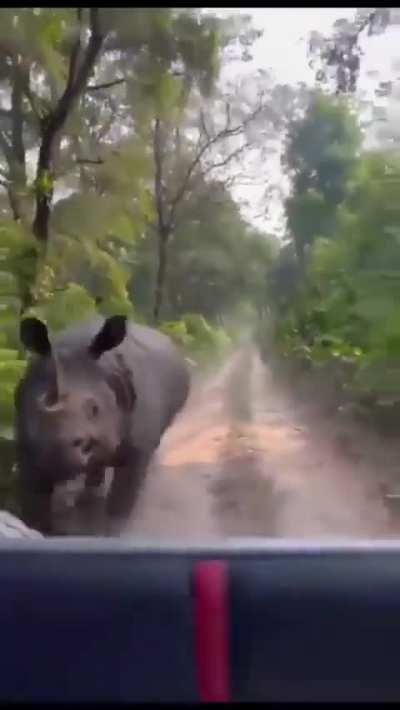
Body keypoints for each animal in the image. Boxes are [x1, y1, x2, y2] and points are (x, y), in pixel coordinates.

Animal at [15, 315, 190, 535]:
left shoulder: (136, 447)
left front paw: (116, 530)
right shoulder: (26, 444)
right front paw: (38, 530)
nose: (56, 455)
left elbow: (122, 497)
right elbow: (34, 502)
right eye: (37, 407)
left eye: (94, 409)